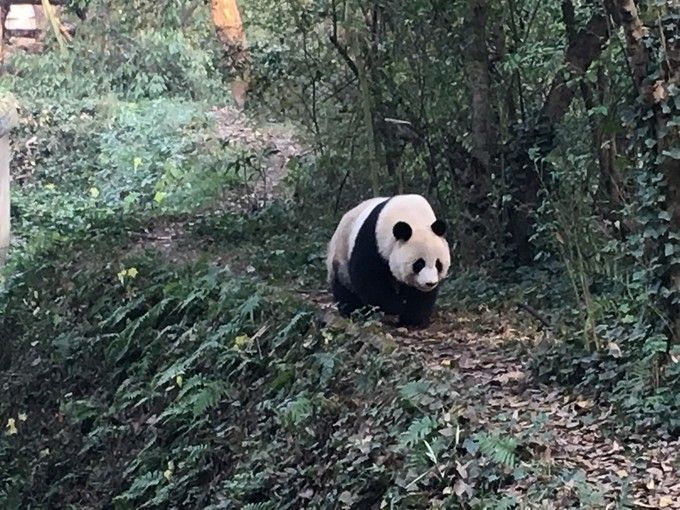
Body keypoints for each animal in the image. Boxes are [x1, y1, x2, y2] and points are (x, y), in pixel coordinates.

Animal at [328, 193, 452, 324]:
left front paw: (414, 319)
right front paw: (396, 306)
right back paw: (353, 312)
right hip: (342, 248)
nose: (430, 283)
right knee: (344, 284)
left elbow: (419, 295)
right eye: (419, 264)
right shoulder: (373, 239)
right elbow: (369, 278)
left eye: (438, 264)